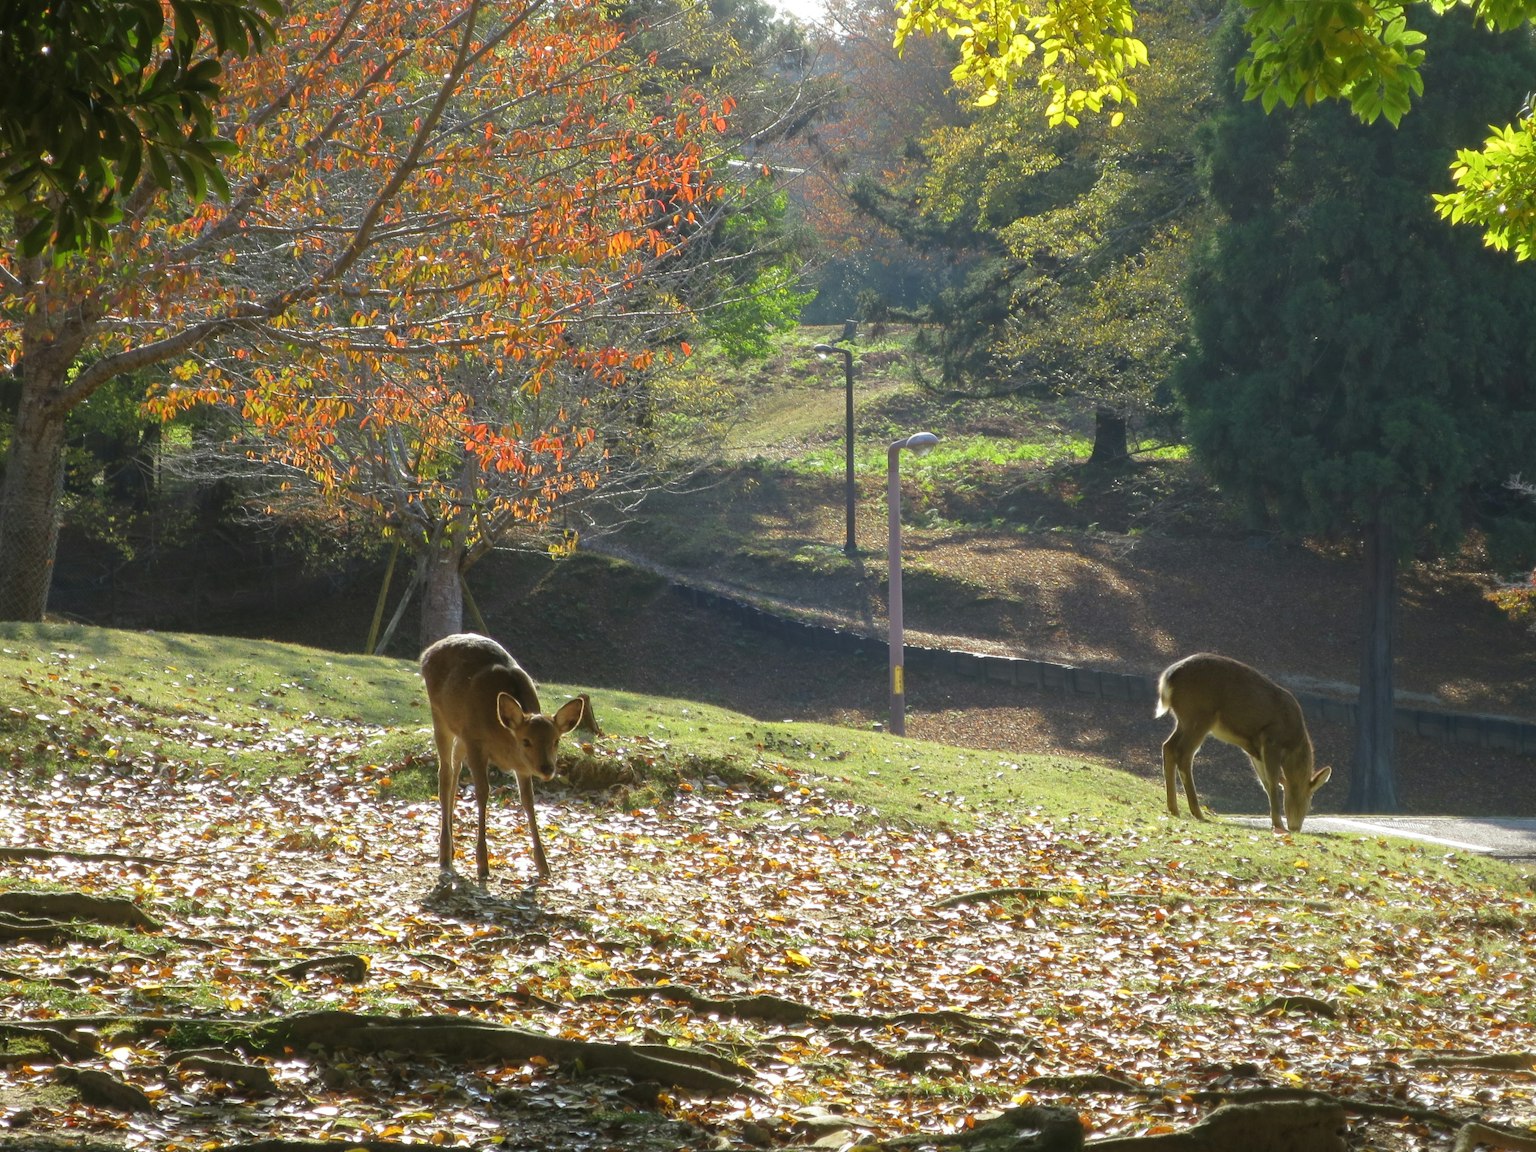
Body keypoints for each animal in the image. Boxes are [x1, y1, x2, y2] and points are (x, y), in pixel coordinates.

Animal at [419, 633, 587, 882]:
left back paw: (451, 848)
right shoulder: (475, 741)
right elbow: (482, 793)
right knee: (445, 774)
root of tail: (427, 653)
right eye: (526, 741)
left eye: (556, 740)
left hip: (459, 733)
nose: (547, 768)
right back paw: (444, 854)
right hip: (439, 716)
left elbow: (528, 801)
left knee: (455, 770)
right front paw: (482, 864)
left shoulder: (522, 766)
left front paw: (543, 865)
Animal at [1156, 652, 1332, 834]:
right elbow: (1273, 782)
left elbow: (1265, 783)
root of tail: (1168, 678)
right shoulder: (1271, 740)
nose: (1296, 827)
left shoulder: (1255, 751)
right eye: (1309, 802)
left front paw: (1275, 822)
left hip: (1184, 719)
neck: (1293, 742)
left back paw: (1173, 808)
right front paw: (1278, 825)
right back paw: (1197, 812)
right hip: (1199, 715)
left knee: (1168, 746)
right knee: (1184, 754)